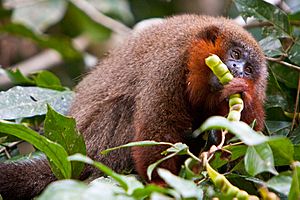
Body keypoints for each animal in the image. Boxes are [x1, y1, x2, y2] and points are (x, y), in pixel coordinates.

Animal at [0, 14, 268, 200]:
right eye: (235, 53)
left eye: (249, 70)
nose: (237, 70)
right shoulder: (169, 65)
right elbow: (156, 128)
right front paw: (161, 186)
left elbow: (241, 148)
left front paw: (241, 93)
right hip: (98, 147)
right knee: (124, 107)